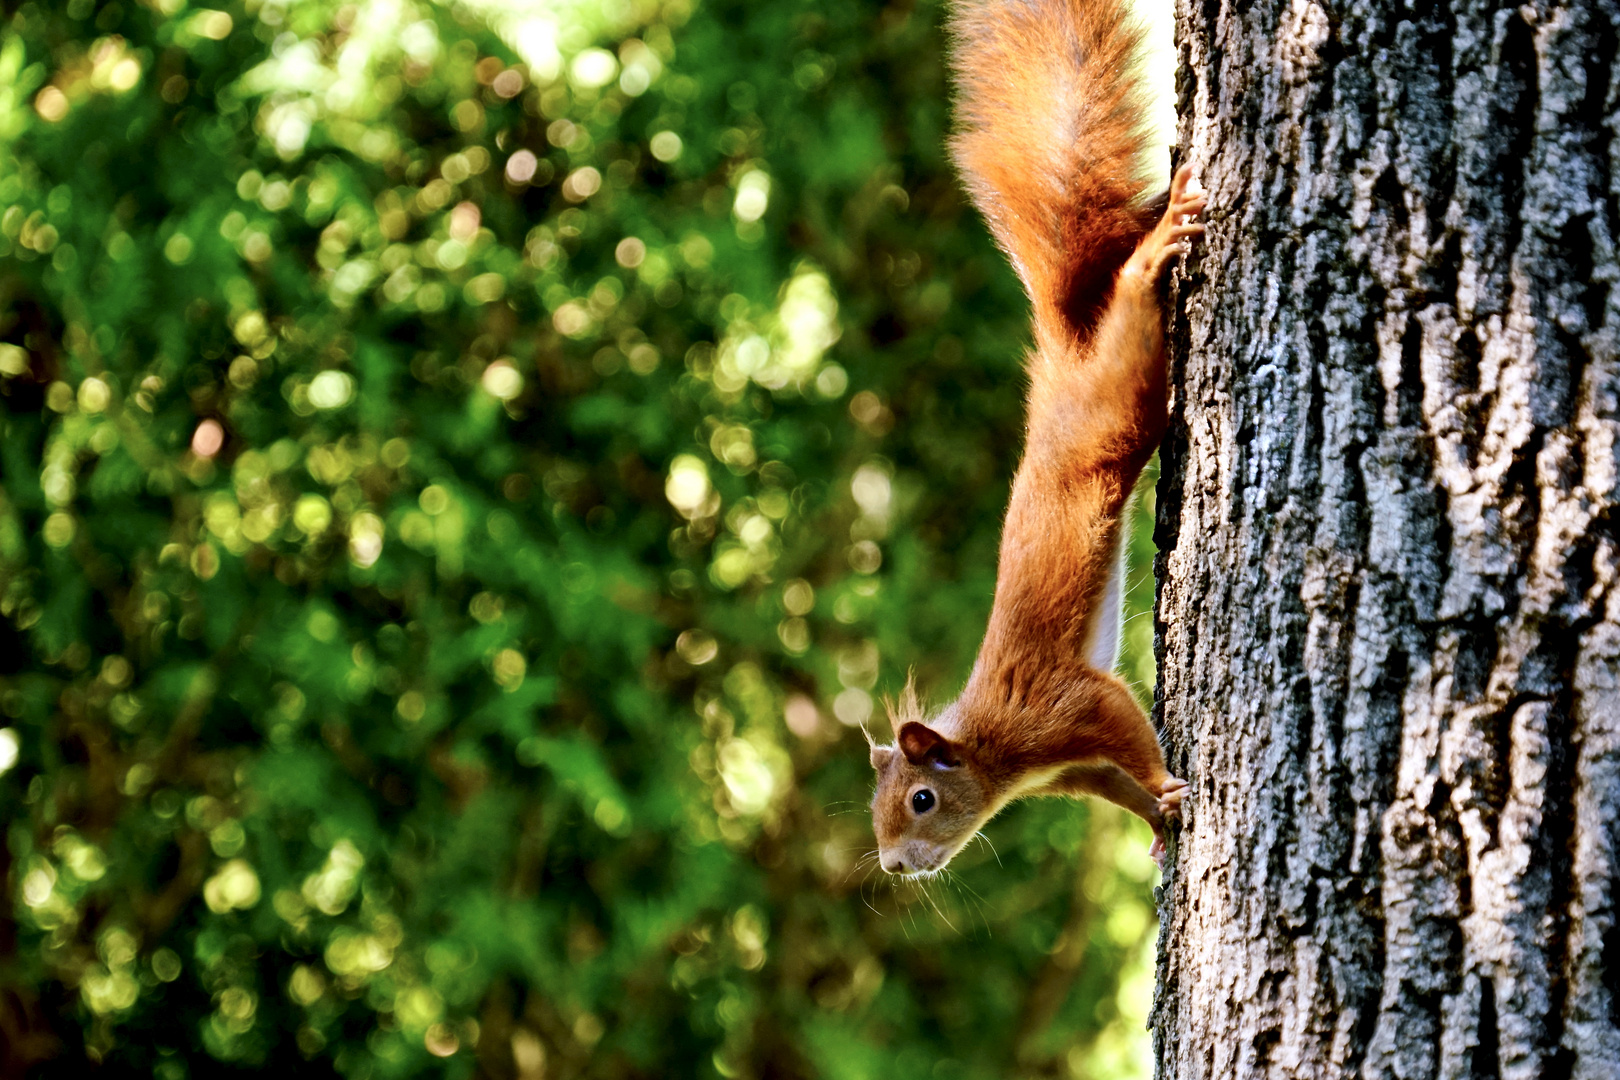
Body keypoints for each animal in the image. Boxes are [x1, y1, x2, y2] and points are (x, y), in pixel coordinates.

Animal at [874, 0, 1205, 874]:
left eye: (921, 800)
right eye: (874, 811)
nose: (893, 866)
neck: (992, 750)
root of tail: (1064, 351)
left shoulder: (1063, 706)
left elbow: (1125, 719)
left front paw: (1169, 783)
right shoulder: (1072, 767)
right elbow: (1114, 786)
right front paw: (1157, 820)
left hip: (1118, 400)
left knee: (1131, 311)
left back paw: (1156, 248)